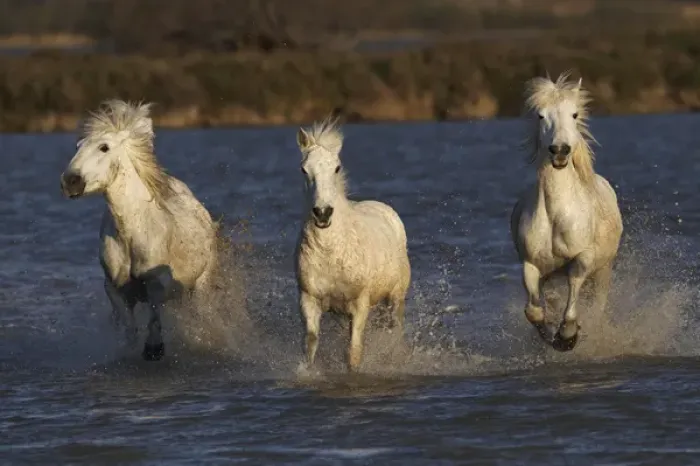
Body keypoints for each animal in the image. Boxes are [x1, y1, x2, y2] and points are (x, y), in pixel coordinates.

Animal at [60, 100, 219, 361]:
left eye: (104, 147)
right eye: (77, 147)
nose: (71, 182)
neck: (131, 233)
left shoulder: (156, 284)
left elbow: (154, 317)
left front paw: (154, 349)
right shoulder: (115, 288)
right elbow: (130, 327)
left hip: (201, 283)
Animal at [294, 118, 411, 372]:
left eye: (337, 168)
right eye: (304, 169)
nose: (322, 213)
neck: (330, 251)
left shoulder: (360, 303)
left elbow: (354, 352)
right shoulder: (309, 299)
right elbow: (310, 345)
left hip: (396, 297)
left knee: (396, 331)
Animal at [510, 73, 623, 351]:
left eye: (574, 114)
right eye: (541, 115)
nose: (560, 151)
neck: (555, 214)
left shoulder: (583, 258)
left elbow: (573, 299)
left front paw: (568, 335)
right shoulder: (530, 264)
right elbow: (534, 311)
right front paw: (552, 335)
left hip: (603, 271)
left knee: (597, 306)